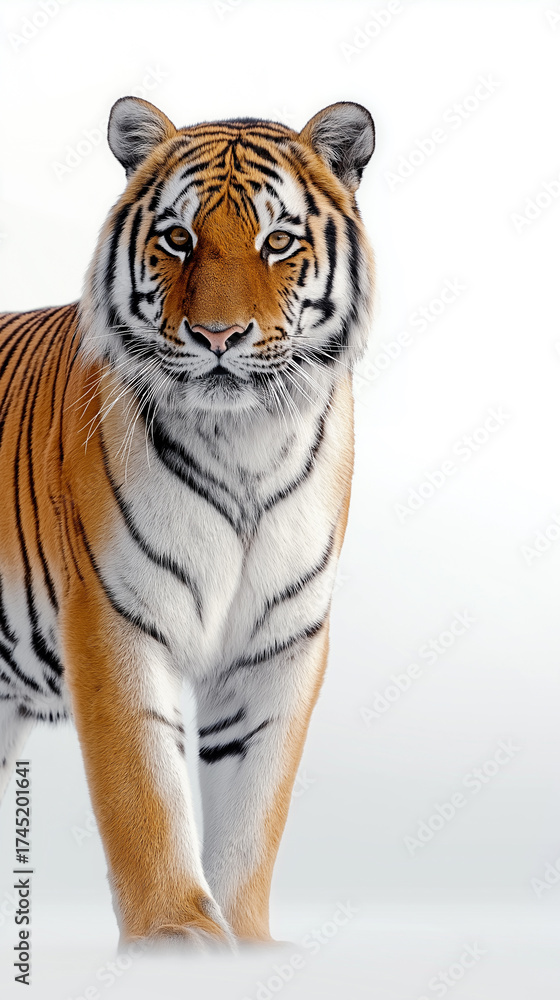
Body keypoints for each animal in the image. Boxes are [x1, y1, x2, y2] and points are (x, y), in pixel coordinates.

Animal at [0, 97, 375, 948]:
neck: (246, 446)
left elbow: (253, 808)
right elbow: (142, 791)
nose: (217, 338)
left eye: (278, 242)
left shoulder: (280, 644)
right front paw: (175, 934)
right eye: (178, 238)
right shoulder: (114, 621)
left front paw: (248, 942)